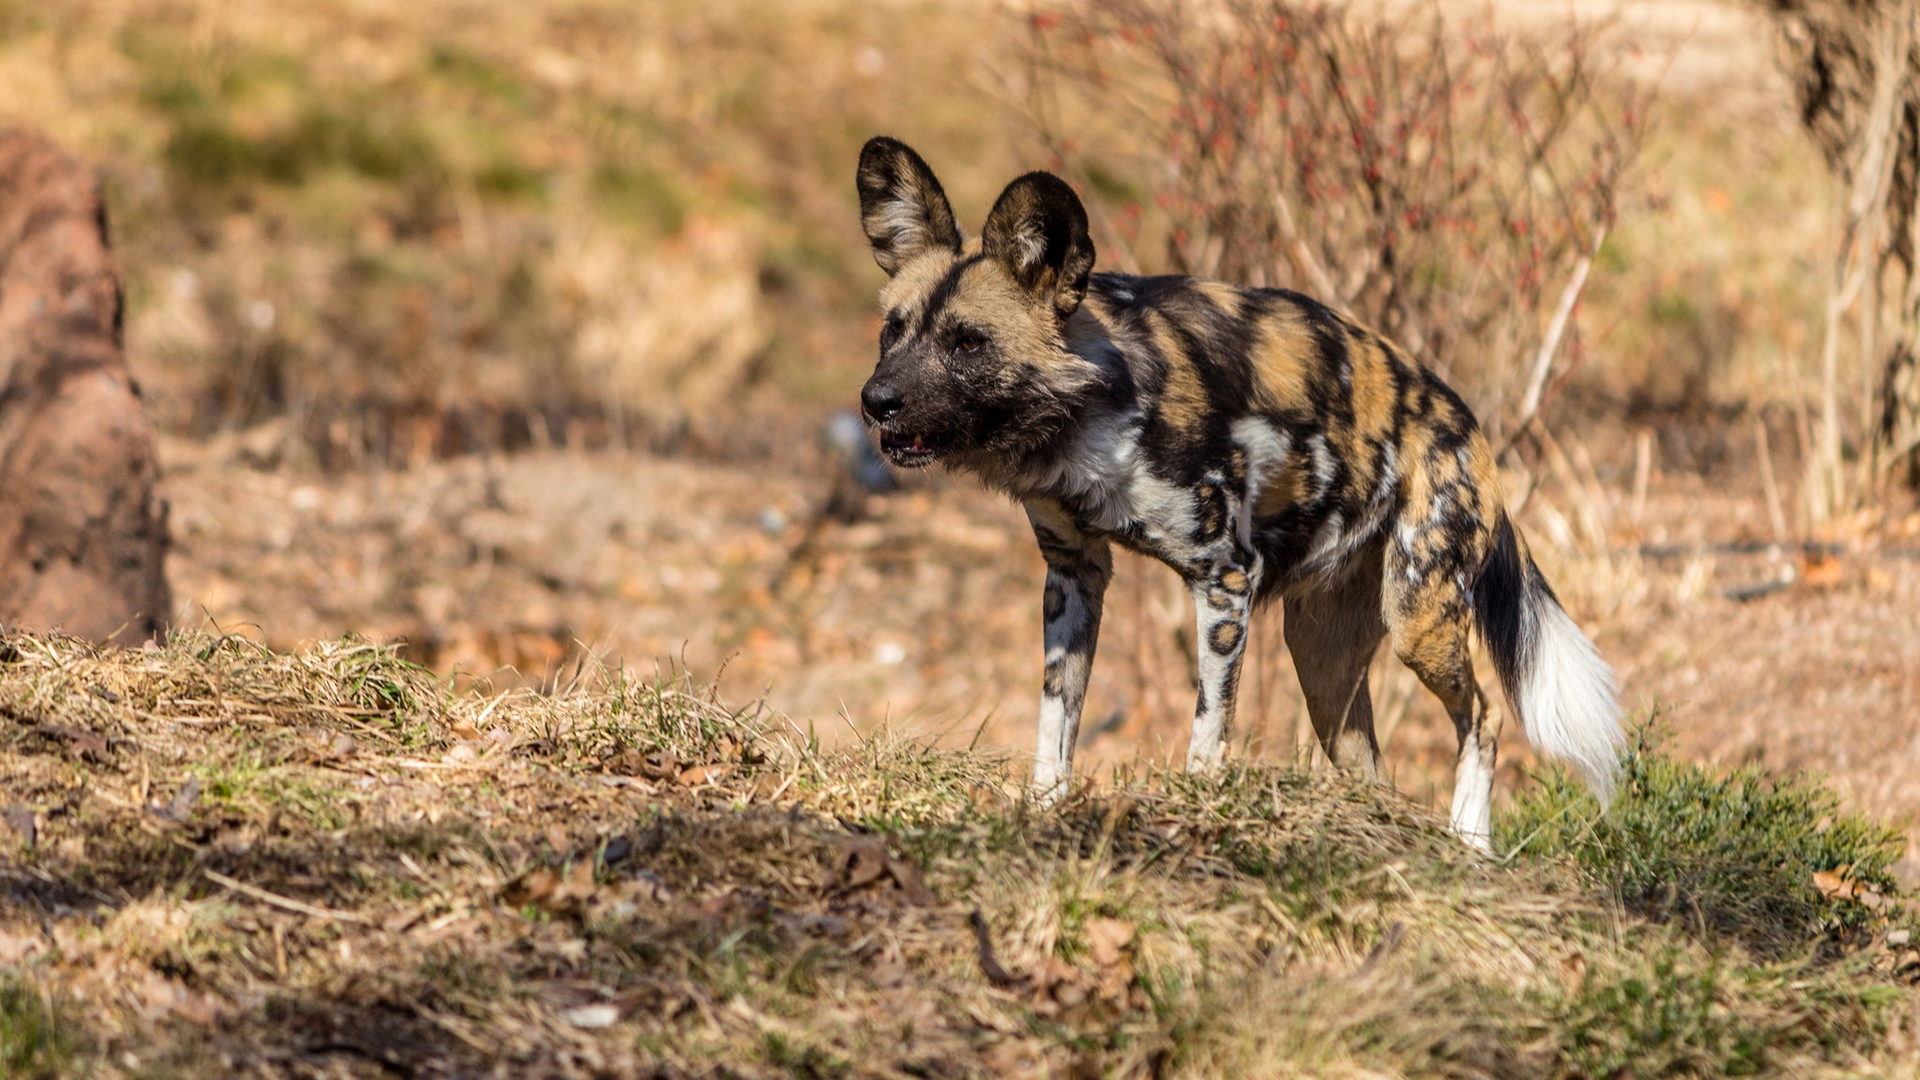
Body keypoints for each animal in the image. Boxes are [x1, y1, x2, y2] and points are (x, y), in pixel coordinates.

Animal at [856, 134, 1620, 845]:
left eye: (967, 343)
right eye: (894, 330)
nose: (875, 401)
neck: (1089, 405)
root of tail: (1463, 418)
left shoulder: (1224, 580)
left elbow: (1207, 730)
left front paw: (1194, 816)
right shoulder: (1074, 574)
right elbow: (1056, 724)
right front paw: (1045, 814)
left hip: (1419, 621)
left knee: (1485, 718)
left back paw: (1470, 842)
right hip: (1322, 663)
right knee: (1374, 769)